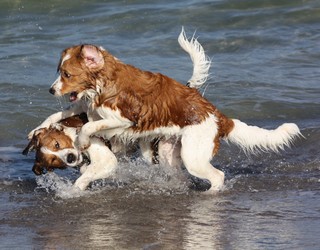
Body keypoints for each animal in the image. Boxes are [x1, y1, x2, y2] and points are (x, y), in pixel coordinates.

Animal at [27, 28, 300, 192]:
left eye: (66, 74)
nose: (51, 90)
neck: (102, 85)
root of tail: (218, 116)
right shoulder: (85, 106)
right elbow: (61, 114)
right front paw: (35, 131)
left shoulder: (123, 119)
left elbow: (92, 126)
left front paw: (82, 140)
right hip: (168, 153)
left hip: (193, 156)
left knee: (217, 176)